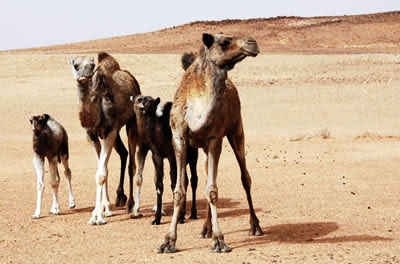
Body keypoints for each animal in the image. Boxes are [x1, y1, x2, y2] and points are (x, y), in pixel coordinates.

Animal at [66, 52, 140, 225]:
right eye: (76, 65)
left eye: (91, 66)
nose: (84, 77)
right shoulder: (92, 135)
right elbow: (103, 169)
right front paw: (104, 209)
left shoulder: (110, 131)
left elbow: (101, 173)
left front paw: (97, 216)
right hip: (117, 131)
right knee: (123, 153)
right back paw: (120, 197)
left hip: (131, 123)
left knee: (132, 164)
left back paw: (131, 205)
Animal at [132, 95, 199, 225]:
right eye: (141, 99)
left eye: (151, 101)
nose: (144, 103)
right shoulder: (157, 155)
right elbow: (159, 184)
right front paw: (157, 218)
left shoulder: (172, 155)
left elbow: (173, 183)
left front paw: (178, 217)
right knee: (185, 180)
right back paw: (184, 214)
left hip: (193, 154)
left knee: (193, 180)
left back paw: (193, 213)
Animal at [158, 33, 264, 254]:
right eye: (224, 42)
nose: (252, 43)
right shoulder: (179, 138)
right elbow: (179, 191)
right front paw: (168, 242)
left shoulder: (215, 138)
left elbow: (212, 191)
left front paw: (220, 241)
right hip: (205, 149)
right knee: (208, 175)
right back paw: (205, 229)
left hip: (236, 130)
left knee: (245, 177)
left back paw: (255, 226)